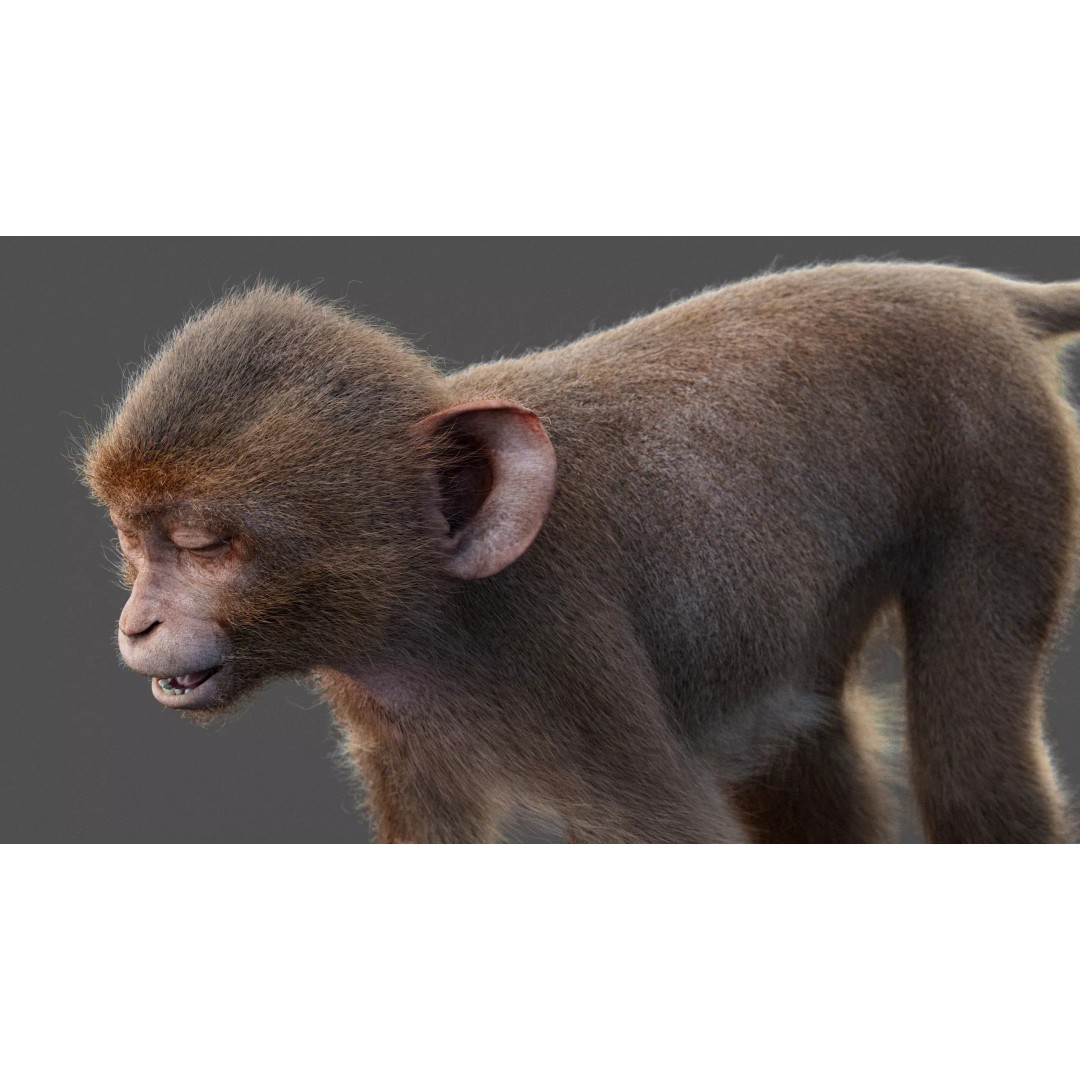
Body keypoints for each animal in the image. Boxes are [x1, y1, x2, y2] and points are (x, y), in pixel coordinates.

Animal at [81, 261, 1080, 843]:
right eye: (135, 542)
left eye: (204, 545)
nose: (138, 623)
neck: (440, 605)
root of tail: (975, 287)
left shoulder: (560, 659)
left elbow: (668, 830)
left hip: (1004, 456)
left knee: (973, 775)